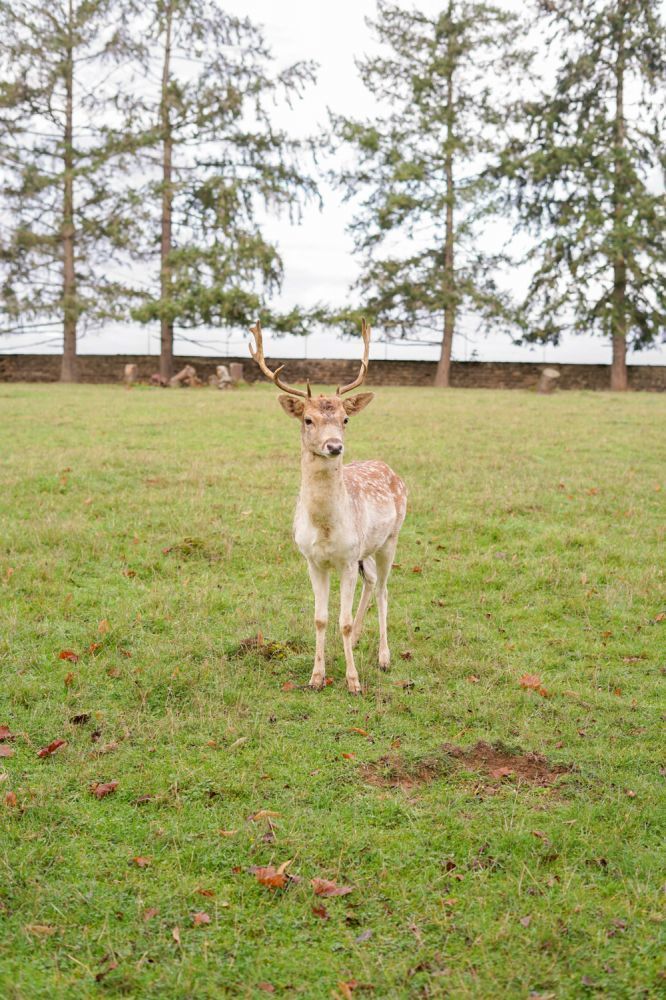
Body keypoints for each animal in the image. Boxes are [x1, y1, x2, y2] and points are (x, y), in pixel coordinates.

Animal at [248, 322, 404, 696]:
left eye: (346, 419)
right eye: (307, 419)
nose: (334, 446)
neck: (325, 527)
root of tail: (388, 468)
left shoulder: (346, 560)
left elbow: (342, 622)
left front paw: (353, 682)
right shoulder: (313, 559)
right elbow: (320, 618)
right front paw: (316, 678)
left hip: (391, 537)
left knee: (383, 589)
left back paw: (384, 657)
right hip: (366, 550)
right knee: (372, 581)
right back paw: (362, 640)